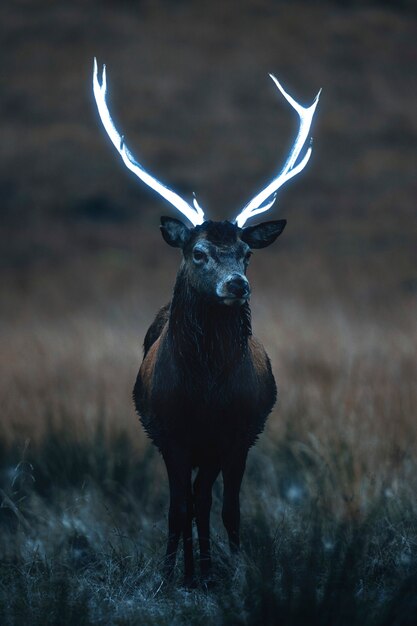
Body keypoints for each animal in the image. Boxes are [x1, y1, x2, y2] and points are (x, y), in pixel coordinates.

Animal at [92, 59, 320, 584]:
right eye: (197, 252)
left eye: (246, 254)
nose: (237, 285)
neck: (204, 393)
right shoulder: (171, 433)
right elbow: (177, 508)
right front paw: (170, 576)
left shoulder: (234, 434)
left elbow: (221, 506)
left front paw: (228, 572)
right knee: (189, 502)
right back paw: (193, 569)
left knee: (215, 502)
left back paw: (214, 567)